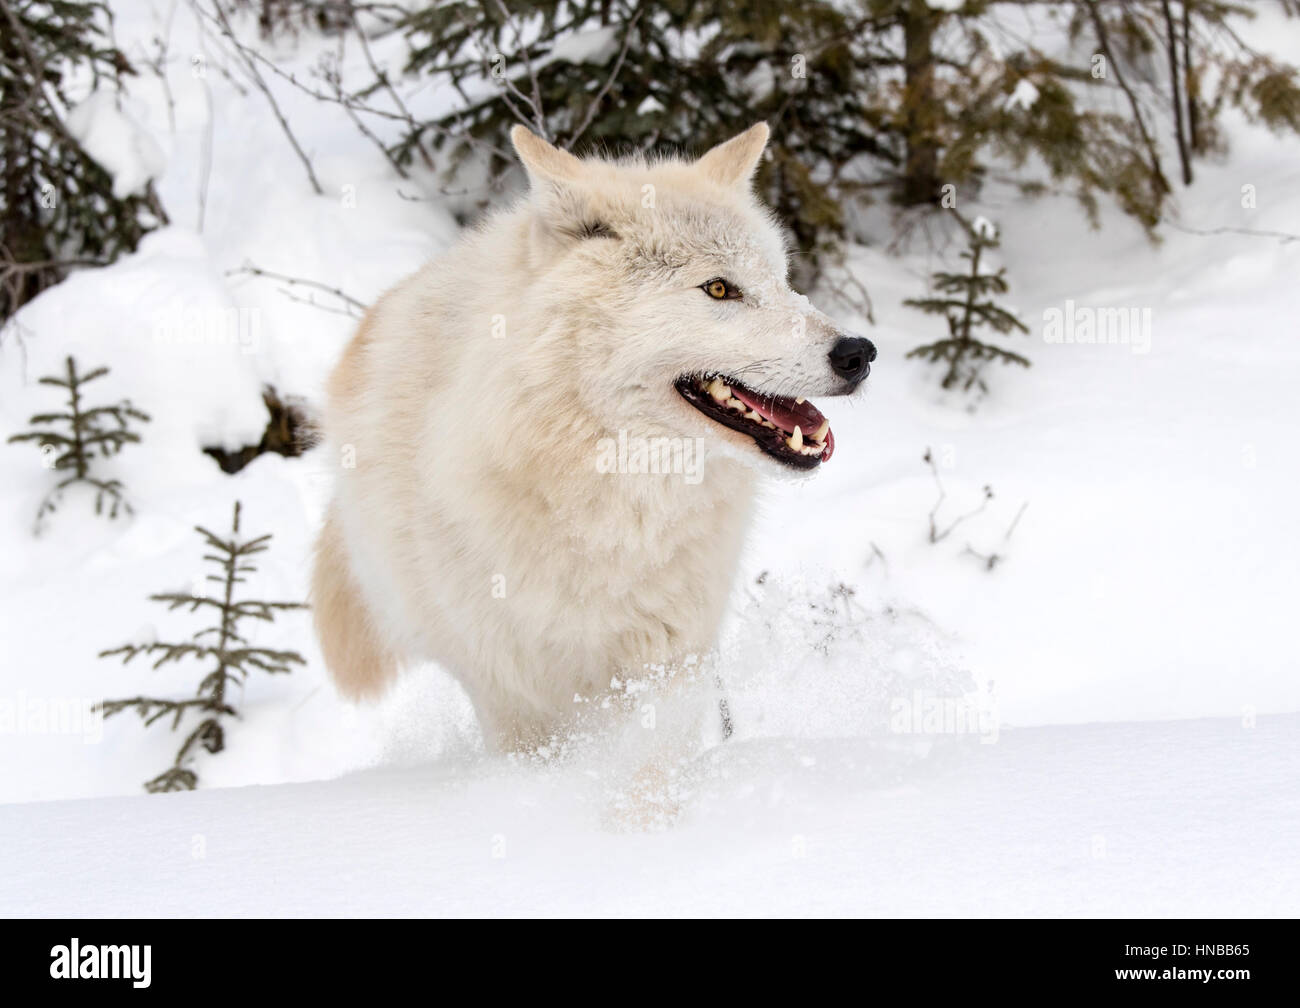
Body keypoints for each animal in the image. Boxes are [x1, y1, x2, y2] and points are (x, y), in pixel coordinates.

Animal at [312, 123, 875, 754]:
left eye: (781, 283)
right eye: (719, 289)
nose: (859, 353)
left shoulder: (669, 656)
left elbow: (652, 767)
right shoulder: (510, 691)